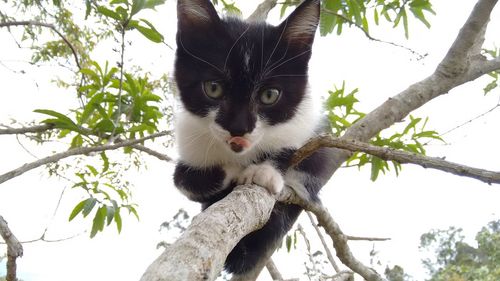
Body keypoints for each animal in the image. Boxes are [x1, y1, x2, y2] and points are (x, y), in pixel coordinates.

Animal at [173, 0, 336, 276]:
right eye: (213, 88)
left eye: (270, 95)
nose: (238, 129)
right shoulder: (190, 138)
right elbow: (183, 180)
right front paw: (231, 171)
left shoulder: (310, 126)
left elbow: (302, 151)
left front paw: (264, 170)